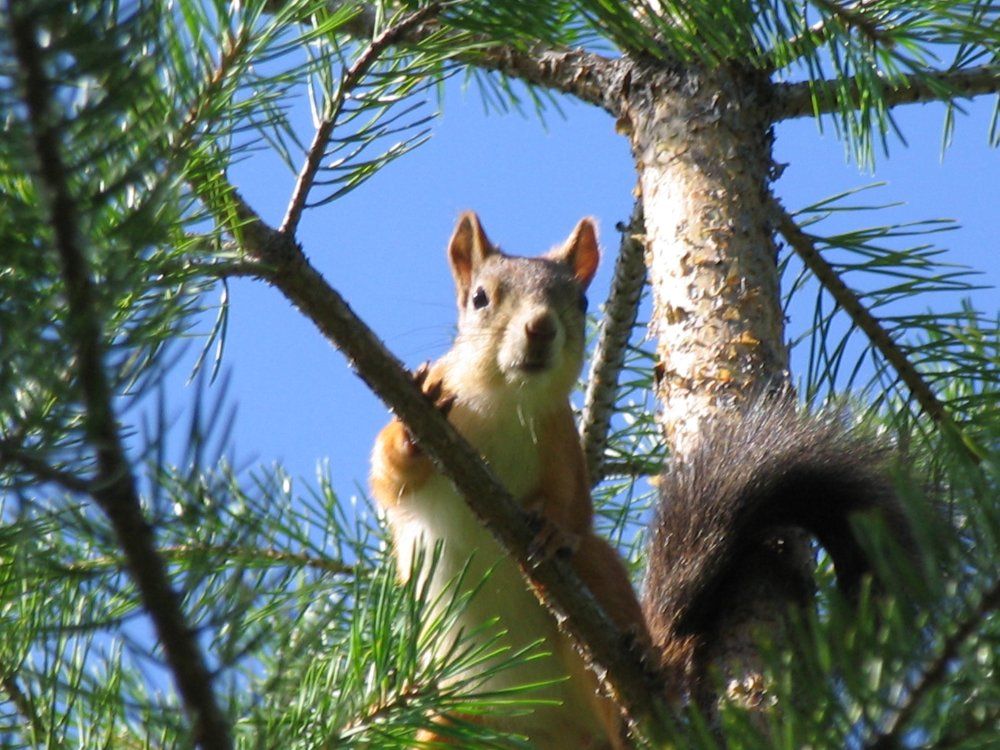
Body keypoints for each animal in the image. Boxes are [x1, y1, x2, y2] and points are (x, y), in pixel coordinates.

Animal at [369, 212, 911, 748]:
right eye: (480, 298)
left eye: (581, 302)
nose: (540, 328)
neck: (506, 401)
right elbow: (388, 479)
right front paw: (414, 428)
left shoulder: (563, 448)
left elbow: (574, 508)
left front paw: (552, 528)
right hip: (457, 724)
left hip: (594, 588)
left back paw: (639, 669)